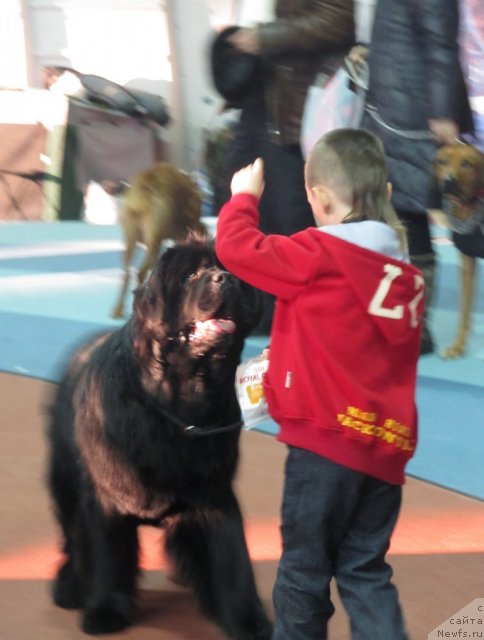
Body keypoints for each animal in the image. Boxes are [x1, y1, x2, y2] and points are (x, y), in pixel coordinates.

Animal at [46, 236, 272, 640]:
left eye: (228, 269)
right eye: (192, 275)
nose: (226, 278)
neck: (181, 405)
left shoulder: (214, 495)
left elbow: (233, 561)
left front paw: (247, 619)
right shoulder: (105, 496)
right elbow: (105, 554)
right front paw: (104, 611)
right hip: (64, 476)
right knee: (72, 536)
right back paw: (70, 586)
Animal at [109, 162, 206, 318]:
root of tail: (139, 198)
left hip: (131, 242)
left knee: (127, 273)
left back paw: (118, 310)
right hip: (153, 244)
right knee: (140, 273)